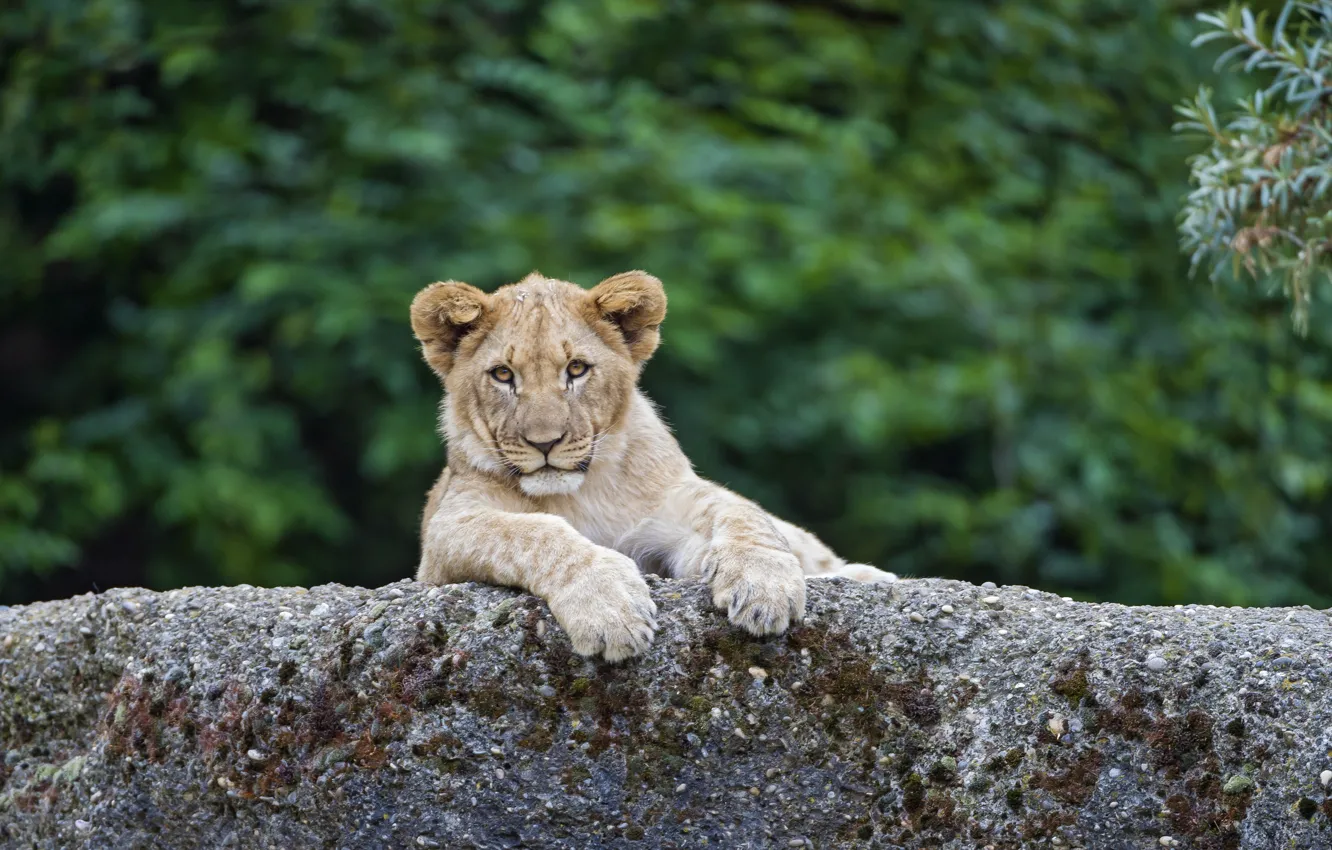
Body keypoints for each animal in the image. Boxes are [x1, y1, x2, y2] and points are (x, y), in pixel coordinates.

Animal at [411, 270, 896, 662]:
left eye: (577, 369)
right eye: (503, 375)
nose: (544, 443)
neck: (579, 492)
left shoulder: (674, 503)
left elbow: (741, 514)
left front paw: (764, 585)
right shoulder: (444, 537)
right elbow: (534, 533)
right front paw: (609, 611)